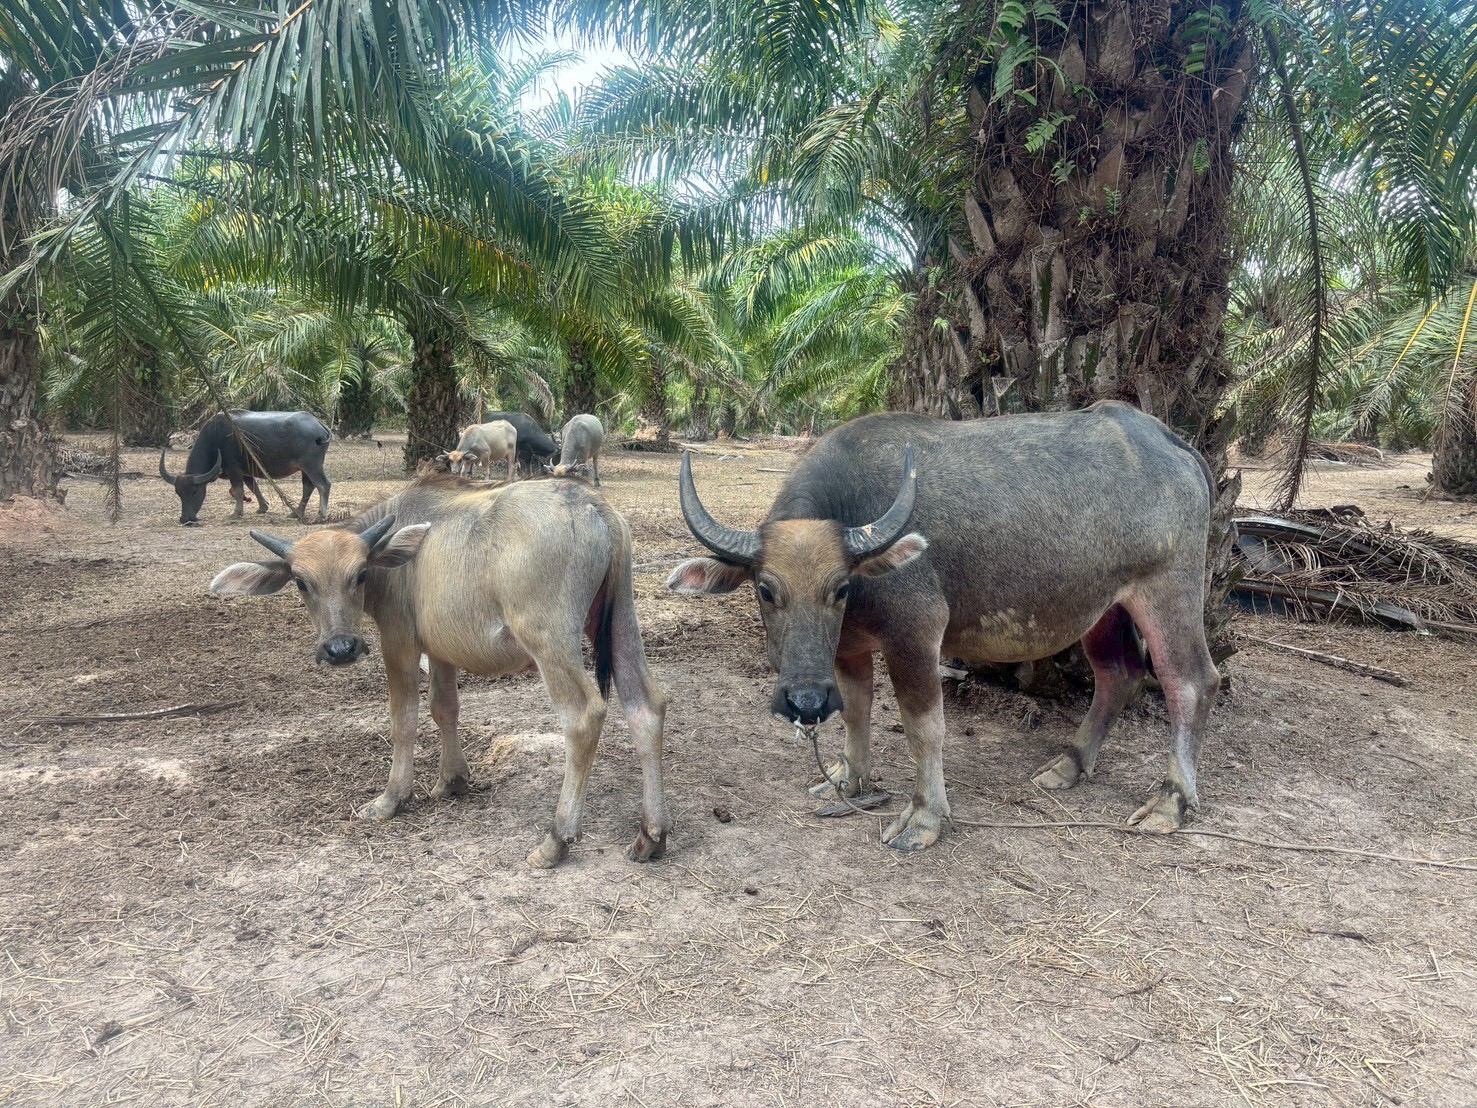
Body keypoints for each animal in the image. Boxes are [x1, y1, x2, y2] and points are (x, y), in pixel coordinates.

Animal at [161, 410, 332, 526]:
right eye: (178, 493)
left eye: (195, 491)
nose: (185, 519)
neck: (214, 438)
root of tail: (319, 425)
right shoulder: (246, 472)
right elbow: (253, 487)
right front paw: (262, 507)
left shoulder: (234, 469)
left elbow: (238, 490)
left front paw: (236, 513)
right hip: (305, 468)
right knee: (308, 487)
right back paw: (296, 513)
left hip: (311, 465)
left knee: (323, 485)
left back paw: (321, 514)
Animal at [209, 473, 670, 868]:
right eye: (302, 583)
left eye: (360, 575)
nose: (341, 649)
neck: (398, 555)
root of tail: (593, 506)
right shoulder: (442, 651)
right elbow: (444, 707)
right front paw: (453, 779)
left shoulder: (399, 642)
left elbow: (404, 718)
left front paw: (392, 797)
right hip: (621, 620)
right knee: (646, 705)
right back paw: (652, 834)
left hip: (549, 641)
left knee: (583, 715)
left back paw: (557, 838)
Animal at [667, 402, 1219, 852]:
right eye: (765, 590)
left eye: (840, 588)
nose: (805, 702)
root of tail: (1169, 442)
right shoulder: (848, 649)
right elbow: (856, 712)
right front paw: (848, 778)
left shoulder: (914, 637)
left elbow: (924, 728)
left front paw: (924, 817)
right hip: (1104, 608)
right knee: (1118, 673)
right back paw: (1070, 763)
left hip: (1169, 592)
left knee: (1191, 682)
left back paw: (1171, 801)